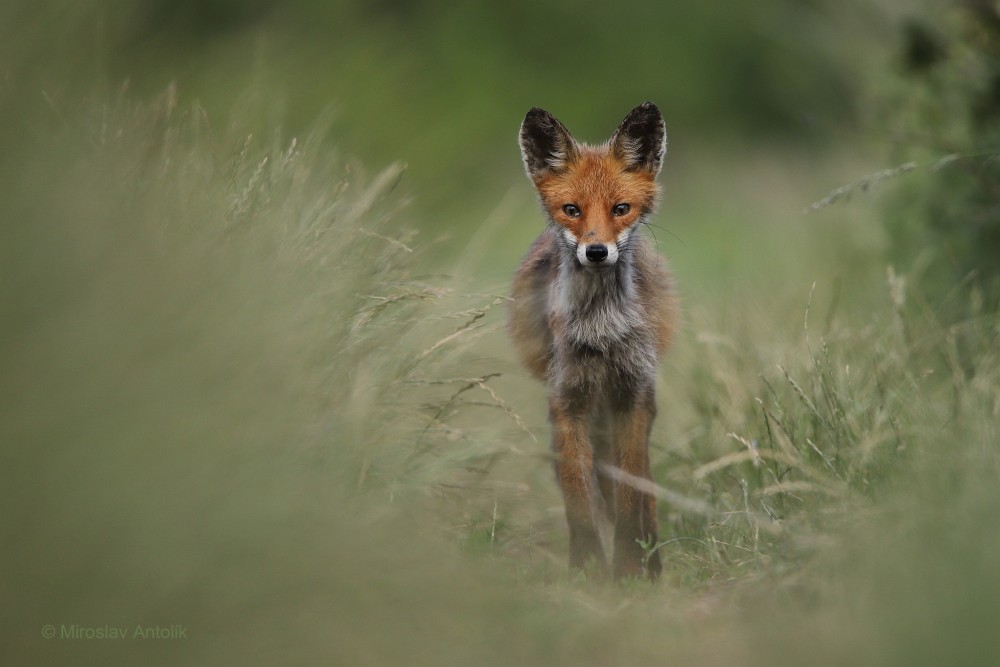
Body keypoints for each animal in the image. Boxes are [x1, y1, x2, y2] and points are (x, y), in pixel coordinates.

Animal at [508, 102, 680, 580]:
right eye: (572, 209)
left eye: (621, 208)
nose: (597, 251)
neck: (602, 329)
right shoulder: (566, 401)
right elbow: (578, 497)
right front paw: (587, 568)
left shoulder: (632, 397)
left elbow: (631, 492)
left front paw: (629, 567)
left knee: (645, 484)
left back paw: (653, 560)